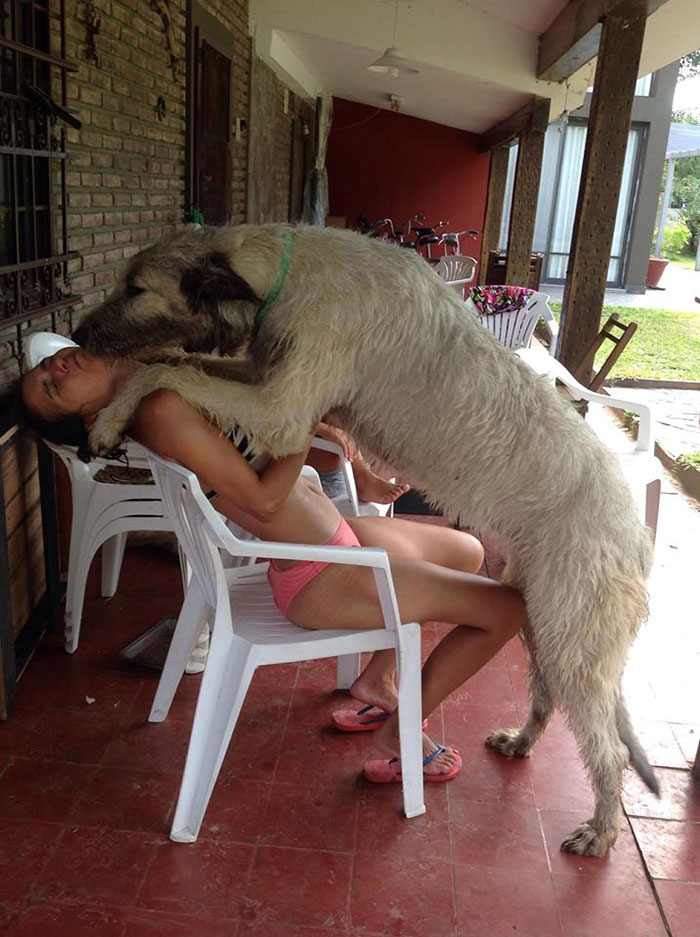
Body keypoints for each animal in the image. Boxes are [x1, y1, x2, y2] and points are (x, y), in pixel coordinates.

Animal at [75, 223, 656, 852]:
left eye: (136, 289)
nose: (78, 335)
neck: (286, 273)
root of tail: (634, 534)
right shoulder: (262, 375)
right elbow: (177, 361)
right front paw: (122, 400)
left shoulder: (280, 406)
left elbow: (169, 374)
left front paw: (111, 415)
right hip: (544, 619)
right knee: (548, 695)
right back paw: (521, 742)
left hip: (575, 633)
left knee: (609, 746)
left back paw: (601, 830)